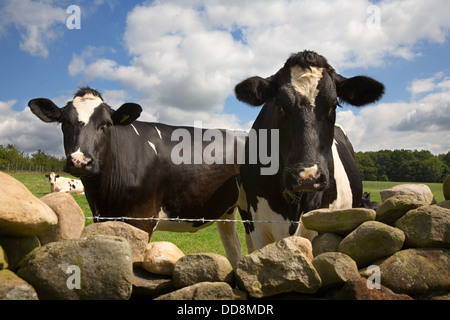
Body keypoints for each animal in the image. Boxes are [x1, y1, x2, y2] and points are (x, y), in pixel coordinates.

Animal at [28, 87, 244, 268]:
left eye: (107, 124)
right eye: (64, 123)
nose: (80, 161)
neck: (103, 196)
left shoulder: (142, 218)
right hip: (227, 209)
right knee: (234, 249)